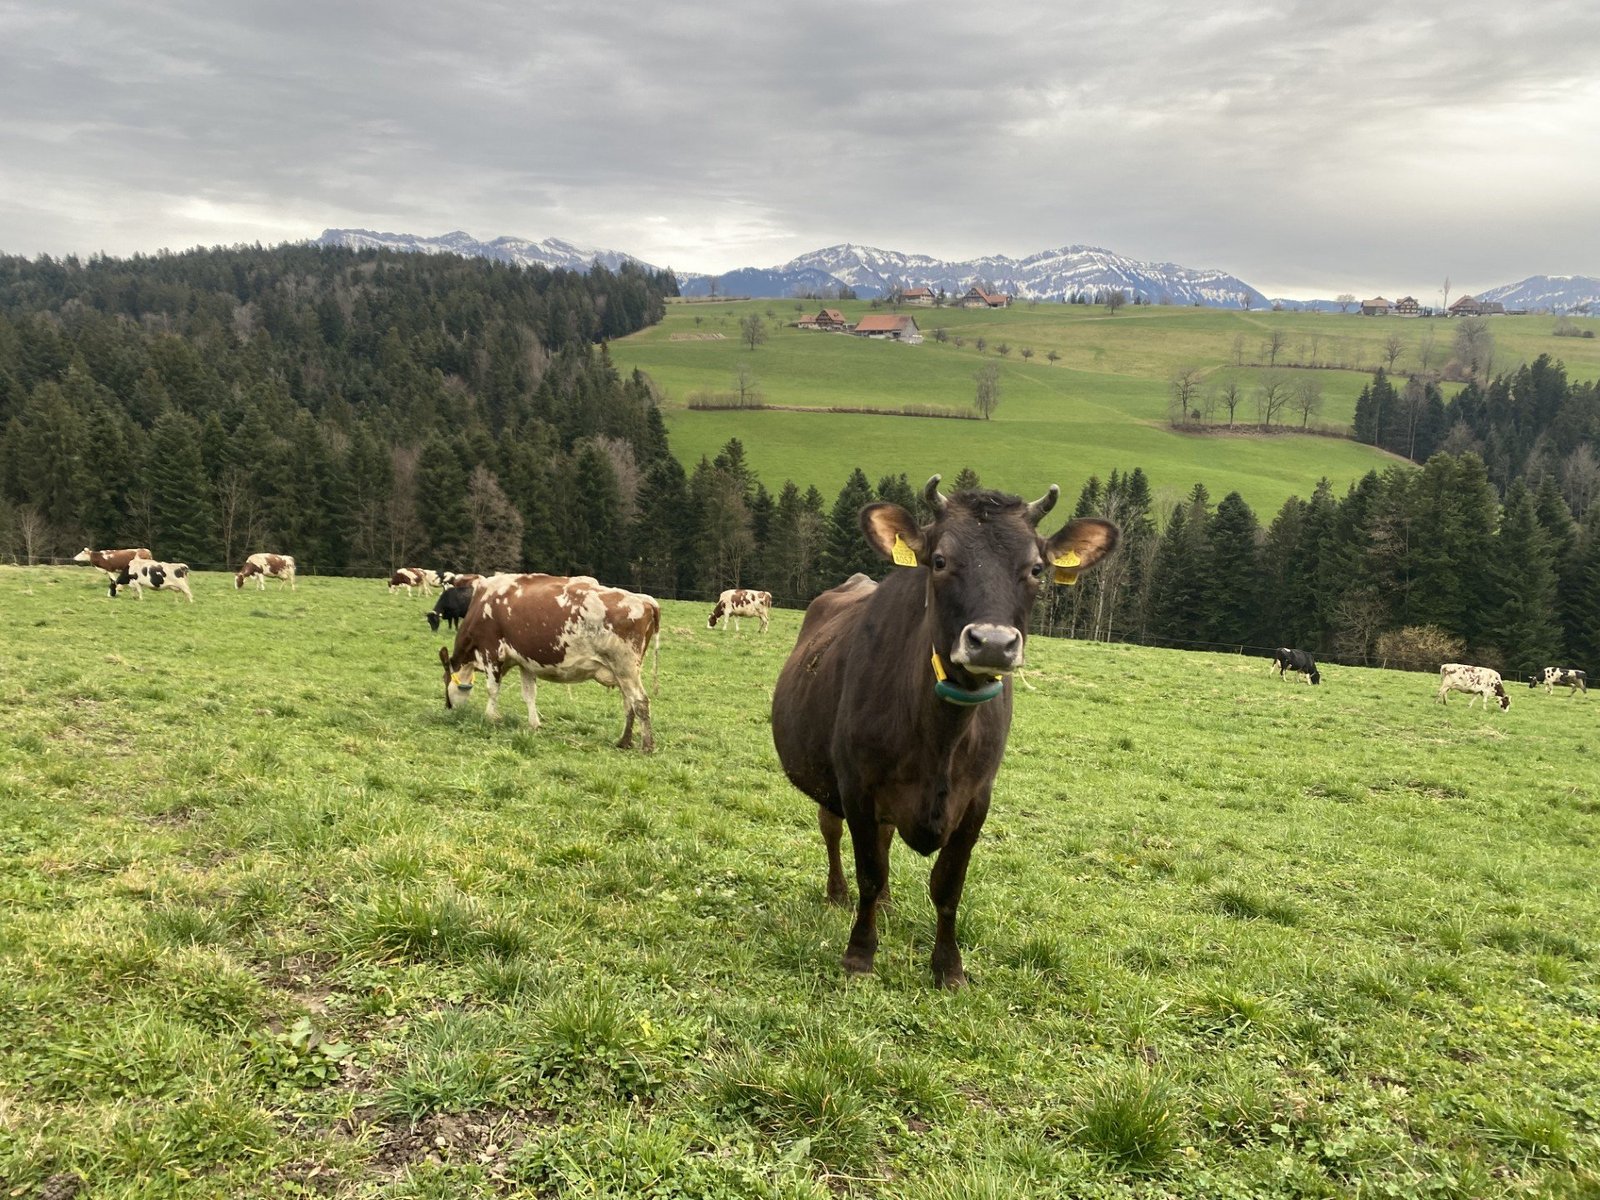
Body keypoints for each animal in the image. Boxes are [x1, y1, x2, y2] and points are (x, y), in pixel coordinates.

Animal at [440, 574, 660, 751]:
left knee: (640, 702)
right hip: (623, 672)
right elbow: (529, 695)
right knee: (629, 704)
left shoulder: (491, 653)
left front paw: (490, 718)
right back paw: (624, 742)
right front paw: (534, 724)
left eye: (444, 680)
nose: (448, 707)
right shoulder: (525, 661)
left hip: (625, 668)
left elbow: (492, 690)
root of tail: (644, 599)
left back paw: (647, 746)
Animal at [771, 475, 1119, 988]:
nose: (992, 642)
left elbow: (947, 885)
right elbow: (868, 870)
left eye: (1037, 568)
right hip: (828, 778)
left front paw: (949, 968)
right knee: (832, 831)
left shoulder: (976, 798)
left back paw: (888, 905)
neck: (941, 733)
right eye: (939, 560)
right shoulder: (857, 784)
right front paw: (859, 955)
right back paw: (838, 894)